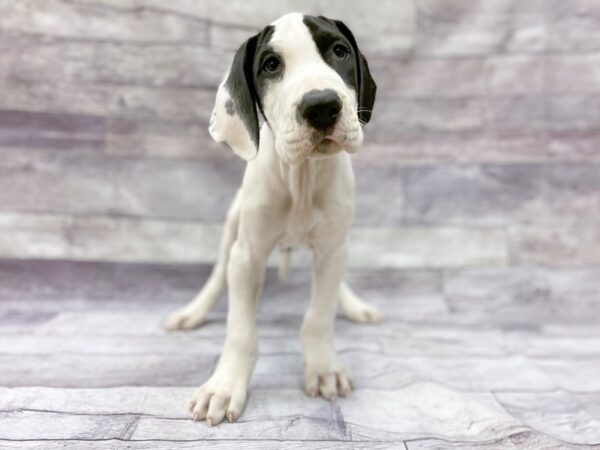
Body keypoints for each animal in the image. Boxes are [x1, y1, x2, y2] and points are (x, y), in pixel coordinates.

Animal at [164, 11, 380, 426]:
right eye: (270, 65)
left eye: (339, 51)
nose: (322, 106)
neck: (301, 179)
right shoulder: (247, 257)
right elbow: (241, 331)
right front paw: (225, 386)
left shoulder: (330, 251)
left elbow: (319, 316)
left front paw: (324, 368)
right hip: (232, 227)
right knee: (218, 273)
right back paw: (193, 312)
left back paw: (352, 303)